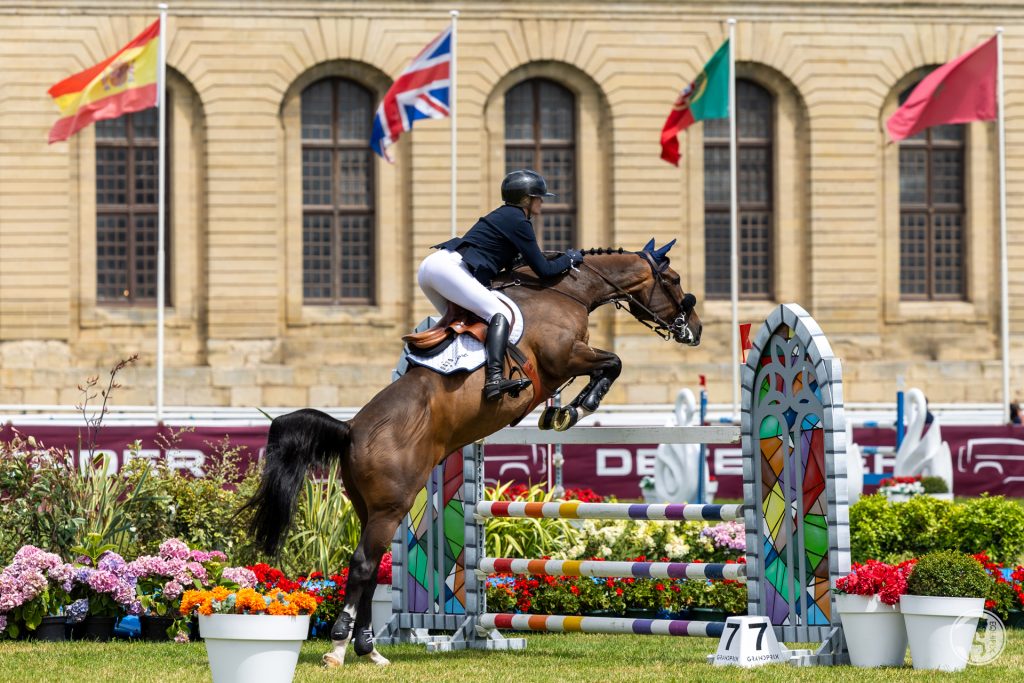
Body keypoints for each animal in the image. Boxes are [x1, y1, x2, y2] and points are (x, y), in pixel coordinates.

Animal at [243, 239, 700, 667]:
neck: (565, 291)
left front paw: (561, 410)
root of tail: (351, 429)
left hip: (367, 507)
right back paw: (339, 648)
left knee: (372, 571)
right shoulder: (565, 356)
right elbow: (613, 362)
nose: (693, 330)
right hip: (391, 506)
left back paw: (371, 651)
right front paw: (574, 408)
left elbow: (608, 365)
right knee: (362, 566)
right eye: (675, 280)